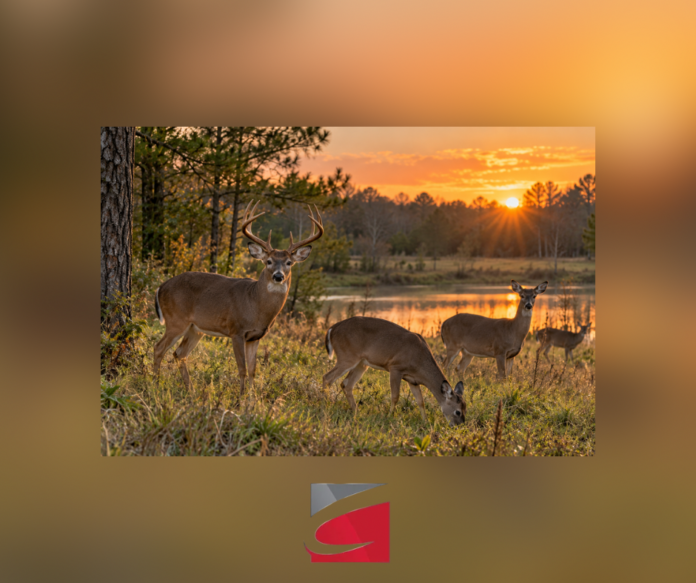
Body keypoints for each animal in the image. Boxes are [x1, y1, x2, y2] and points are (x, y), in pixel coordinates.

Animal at [153, 200, 323, 395]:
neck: (256, 306)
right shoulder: (236, 330)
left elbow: (253, 370)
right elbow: (241, 368)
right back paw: (155, 384)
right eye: (269, 261)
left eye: (289, 262)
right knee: (159, 349)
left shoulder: (255, 337)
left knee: (179, 354)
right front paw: (241, 397)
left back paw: (191, 390)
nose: (278, 276)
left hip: (195, 328)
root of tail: (160, 287)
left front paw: (252, 397)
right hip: (176, 320)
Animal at [323, 316, 466, 426]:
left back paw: (356, 411)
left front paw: (425, 421)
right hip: (347, 357)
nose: (459, 426)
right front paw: (390, 415)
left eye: (465, 408)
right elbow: (395, 396)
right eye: (457, 411)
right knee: (327, 378)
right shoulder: (395, 367)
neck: (419, 359)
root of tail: (332, 329)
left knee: (346, 384)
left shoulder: (413, 380)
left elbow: (420, 401)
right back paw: (327, 404)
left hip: (361, 364)